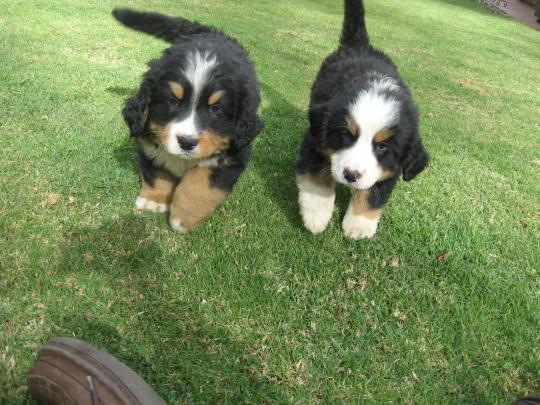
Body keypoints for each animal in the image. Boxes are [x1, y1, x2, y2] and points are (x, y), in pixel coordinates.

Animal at [114, 7, 264, 232]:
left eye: (216, 109)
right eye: (173, 101)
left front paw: (183, 217)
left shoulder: (235, 153)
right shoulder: (147, 140)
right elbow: (156, 171)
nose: (186, 142)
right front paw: (153, 201)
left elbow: (203, 182)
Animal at [296, 0, 430, 238]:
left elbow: (374, 194)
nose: (351, 175)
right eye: (345, 135)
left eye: (382, 147)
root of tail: (360, 46)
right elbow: (316, 176)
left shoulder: (391, 167)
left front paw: (359, 224)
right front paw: (316, 214)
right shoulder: (315, 139)